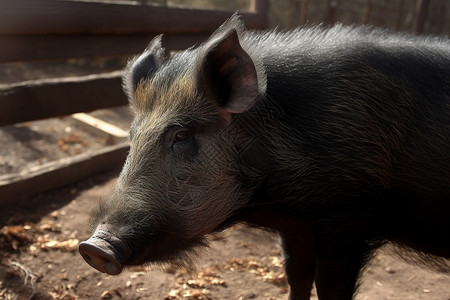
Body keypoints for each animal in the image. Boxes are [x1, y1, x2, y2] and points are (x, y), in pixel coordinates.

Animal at [78, 15, 450, 298]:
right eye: (132, 136)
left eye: (181, 135)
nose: (93, 247)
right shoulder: (296, 227)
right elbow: (296, 279)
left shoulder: (346, 219)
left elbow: (329, 289)